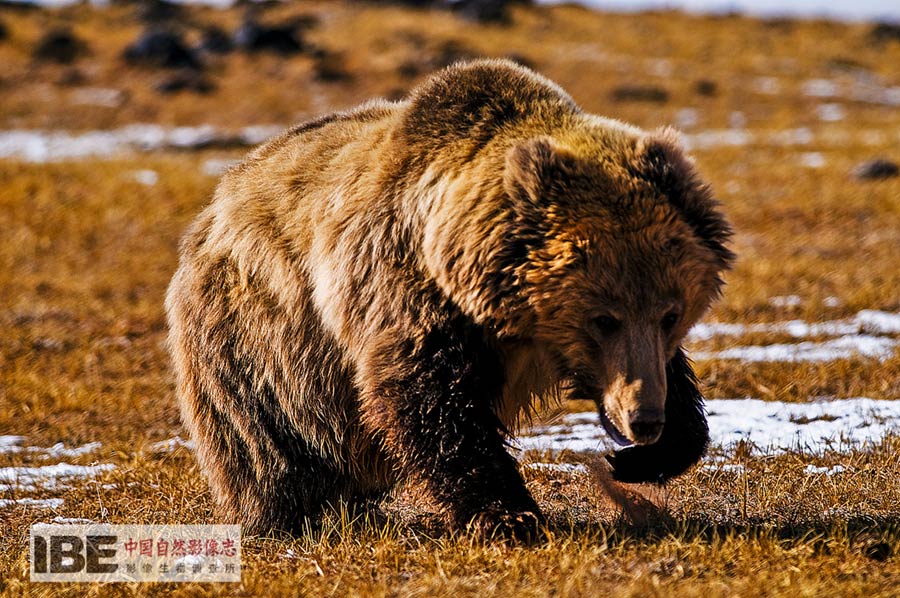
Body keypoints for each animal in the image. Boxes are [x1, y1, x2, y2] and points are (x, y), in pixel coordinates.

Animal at [165, 58, 736, 540]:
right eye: (603, 318)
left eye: (671, 314)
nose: (645, 420)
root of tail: (215, 204)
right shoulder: (408, 295)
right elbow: (433, 405)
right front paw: (509, 515)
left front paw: (651, 454)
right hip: (259, 341)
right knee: (267, 442)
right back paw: (283, 514)